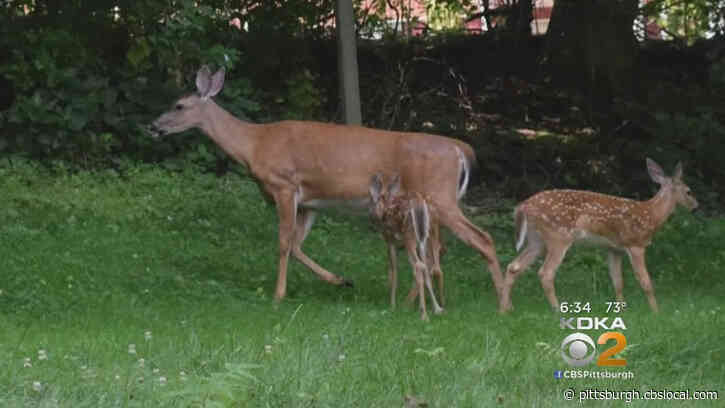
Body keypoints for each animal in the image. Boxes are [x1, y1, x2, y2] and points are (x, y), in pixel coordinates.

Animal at [369, 173, 444, 320]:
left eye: (371, 201)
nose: (372, 215)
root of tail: (419, 203)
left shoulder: (390, 241)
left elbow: (393, 271)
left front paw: (392, 306)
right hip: (428, 234)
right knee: (433, 267)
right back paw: (438, 307)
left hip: (410, 235)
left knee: (419, 266)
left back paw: (423, 314)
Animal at [500, 158, 698, 313]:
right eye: (688, 191)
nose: (696, 207)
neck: (651, 215)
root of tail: (523, 206)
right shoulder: (636, 244)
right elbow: (646, 282)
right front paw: (656, 312)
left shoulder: (614, 249)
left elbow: (618, 282)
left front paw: (621, 309)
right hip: (558, 236)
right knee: (545, 273)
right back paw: (557, 310)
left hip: (537, 240)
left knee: (513, 266)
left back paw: (505, 309)